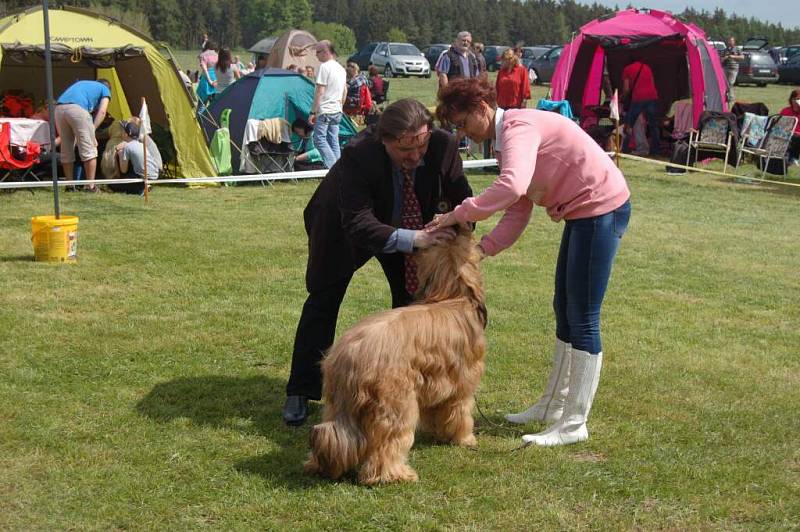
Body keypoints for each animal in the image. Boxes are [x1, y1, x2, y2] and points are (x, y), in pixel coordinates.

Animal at [304, 227, 484, 484]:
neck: (452, 296)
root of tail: (349, 355)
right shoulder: (461, 383)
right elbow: (459, 412)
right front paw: (464, 439)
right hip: (395, 403)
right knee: (387, 445)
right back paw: (393, 475)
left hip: (337, 403)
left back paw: (321, 465)